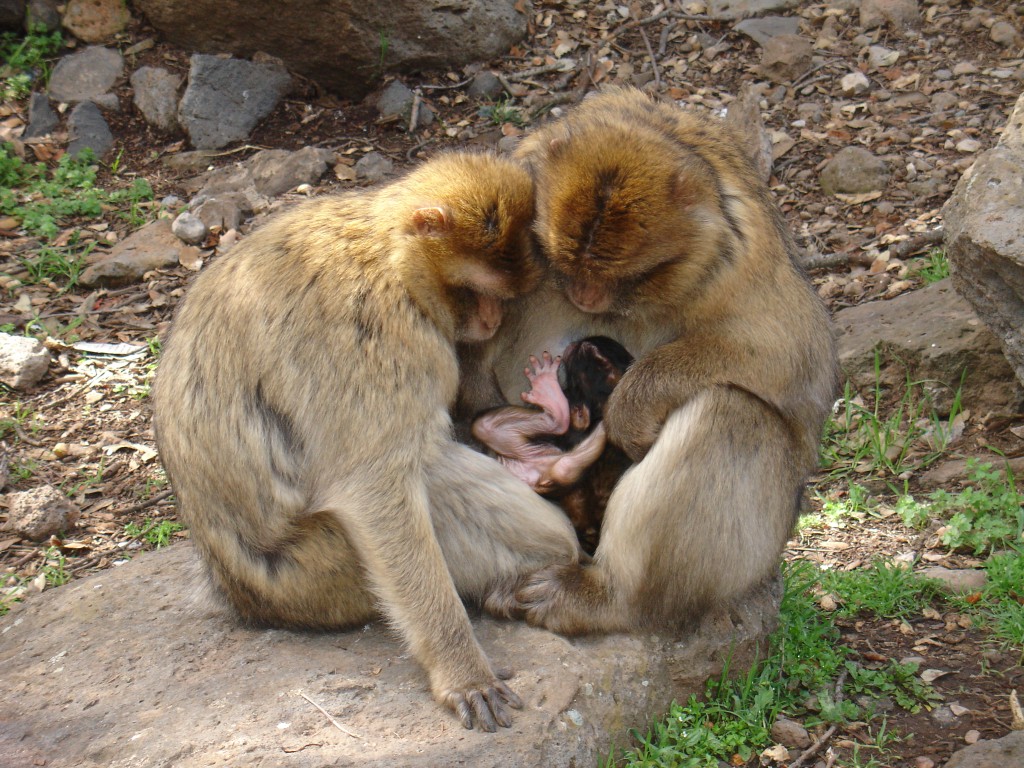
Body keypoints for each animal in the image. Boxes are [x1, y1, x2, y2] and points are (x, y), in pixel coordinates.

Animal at [153, 151, 585, 733]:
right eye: (482, 293)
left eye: (504, 300)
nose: (493, 320)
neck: (388, 256)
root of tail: (239, 593)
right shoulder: (380, 335)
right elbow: (375, 488)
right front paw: (460, 667)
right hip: (325, 569)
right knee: (434, 474)